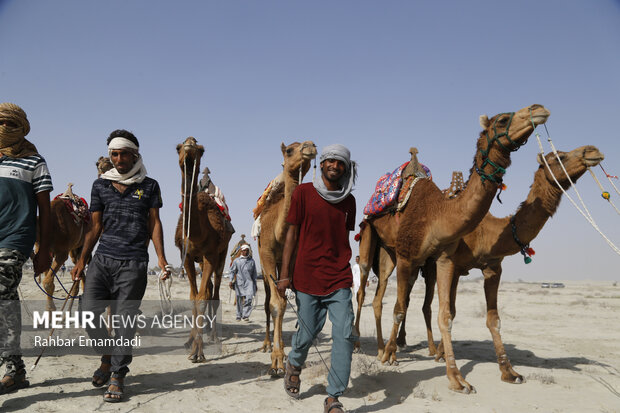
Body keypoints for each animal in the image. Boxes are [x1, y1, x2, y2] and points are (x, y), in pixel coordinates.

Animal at [174, 137, 232, 362]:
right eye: (178, 148)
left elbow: (201, 298)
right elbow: (193, 297)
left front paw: (197, 351)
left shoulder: (210, 255)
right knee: (206, 292)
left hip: (222, 256)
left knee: (213, 294)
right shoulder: (187, 257)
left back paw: (213, 336)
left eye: (201, 149)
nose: (189, 144)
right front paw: (190, 341)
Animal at [382, 104, 552, 392]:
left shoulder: (441, 259)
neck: (437, 214)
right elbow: (398, 308)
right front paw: (388, 356)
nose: (538, 109)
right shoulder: (405, 256)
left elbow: (442, 313)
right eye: (503, 119)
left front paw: (456, 377)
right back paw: (377, 347)